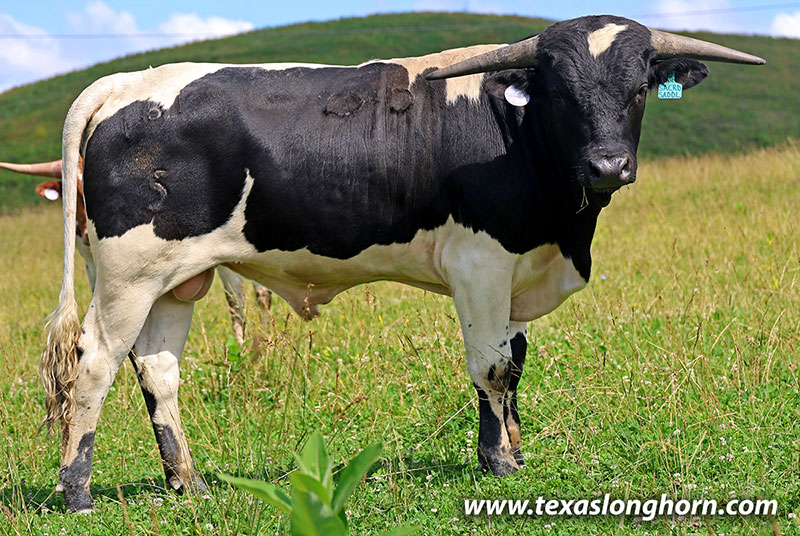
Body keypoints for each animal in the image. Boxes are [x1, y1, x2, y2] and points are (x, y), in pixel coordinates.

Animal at [38, 15, 764, 512]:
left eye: (640, 87)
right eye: (561, 91)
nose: (609, 164)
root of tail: (125, 81)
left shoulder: (518, 271)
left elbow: (516, 363)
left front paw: (514, 448)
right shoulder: (480, 262)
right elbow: (490, 367)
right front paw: (498, 464)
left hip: (173, 282)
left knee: (158, 372)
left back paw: (186, 483)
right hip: (129, 274)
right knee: (93, 363)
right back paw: (77, 492)